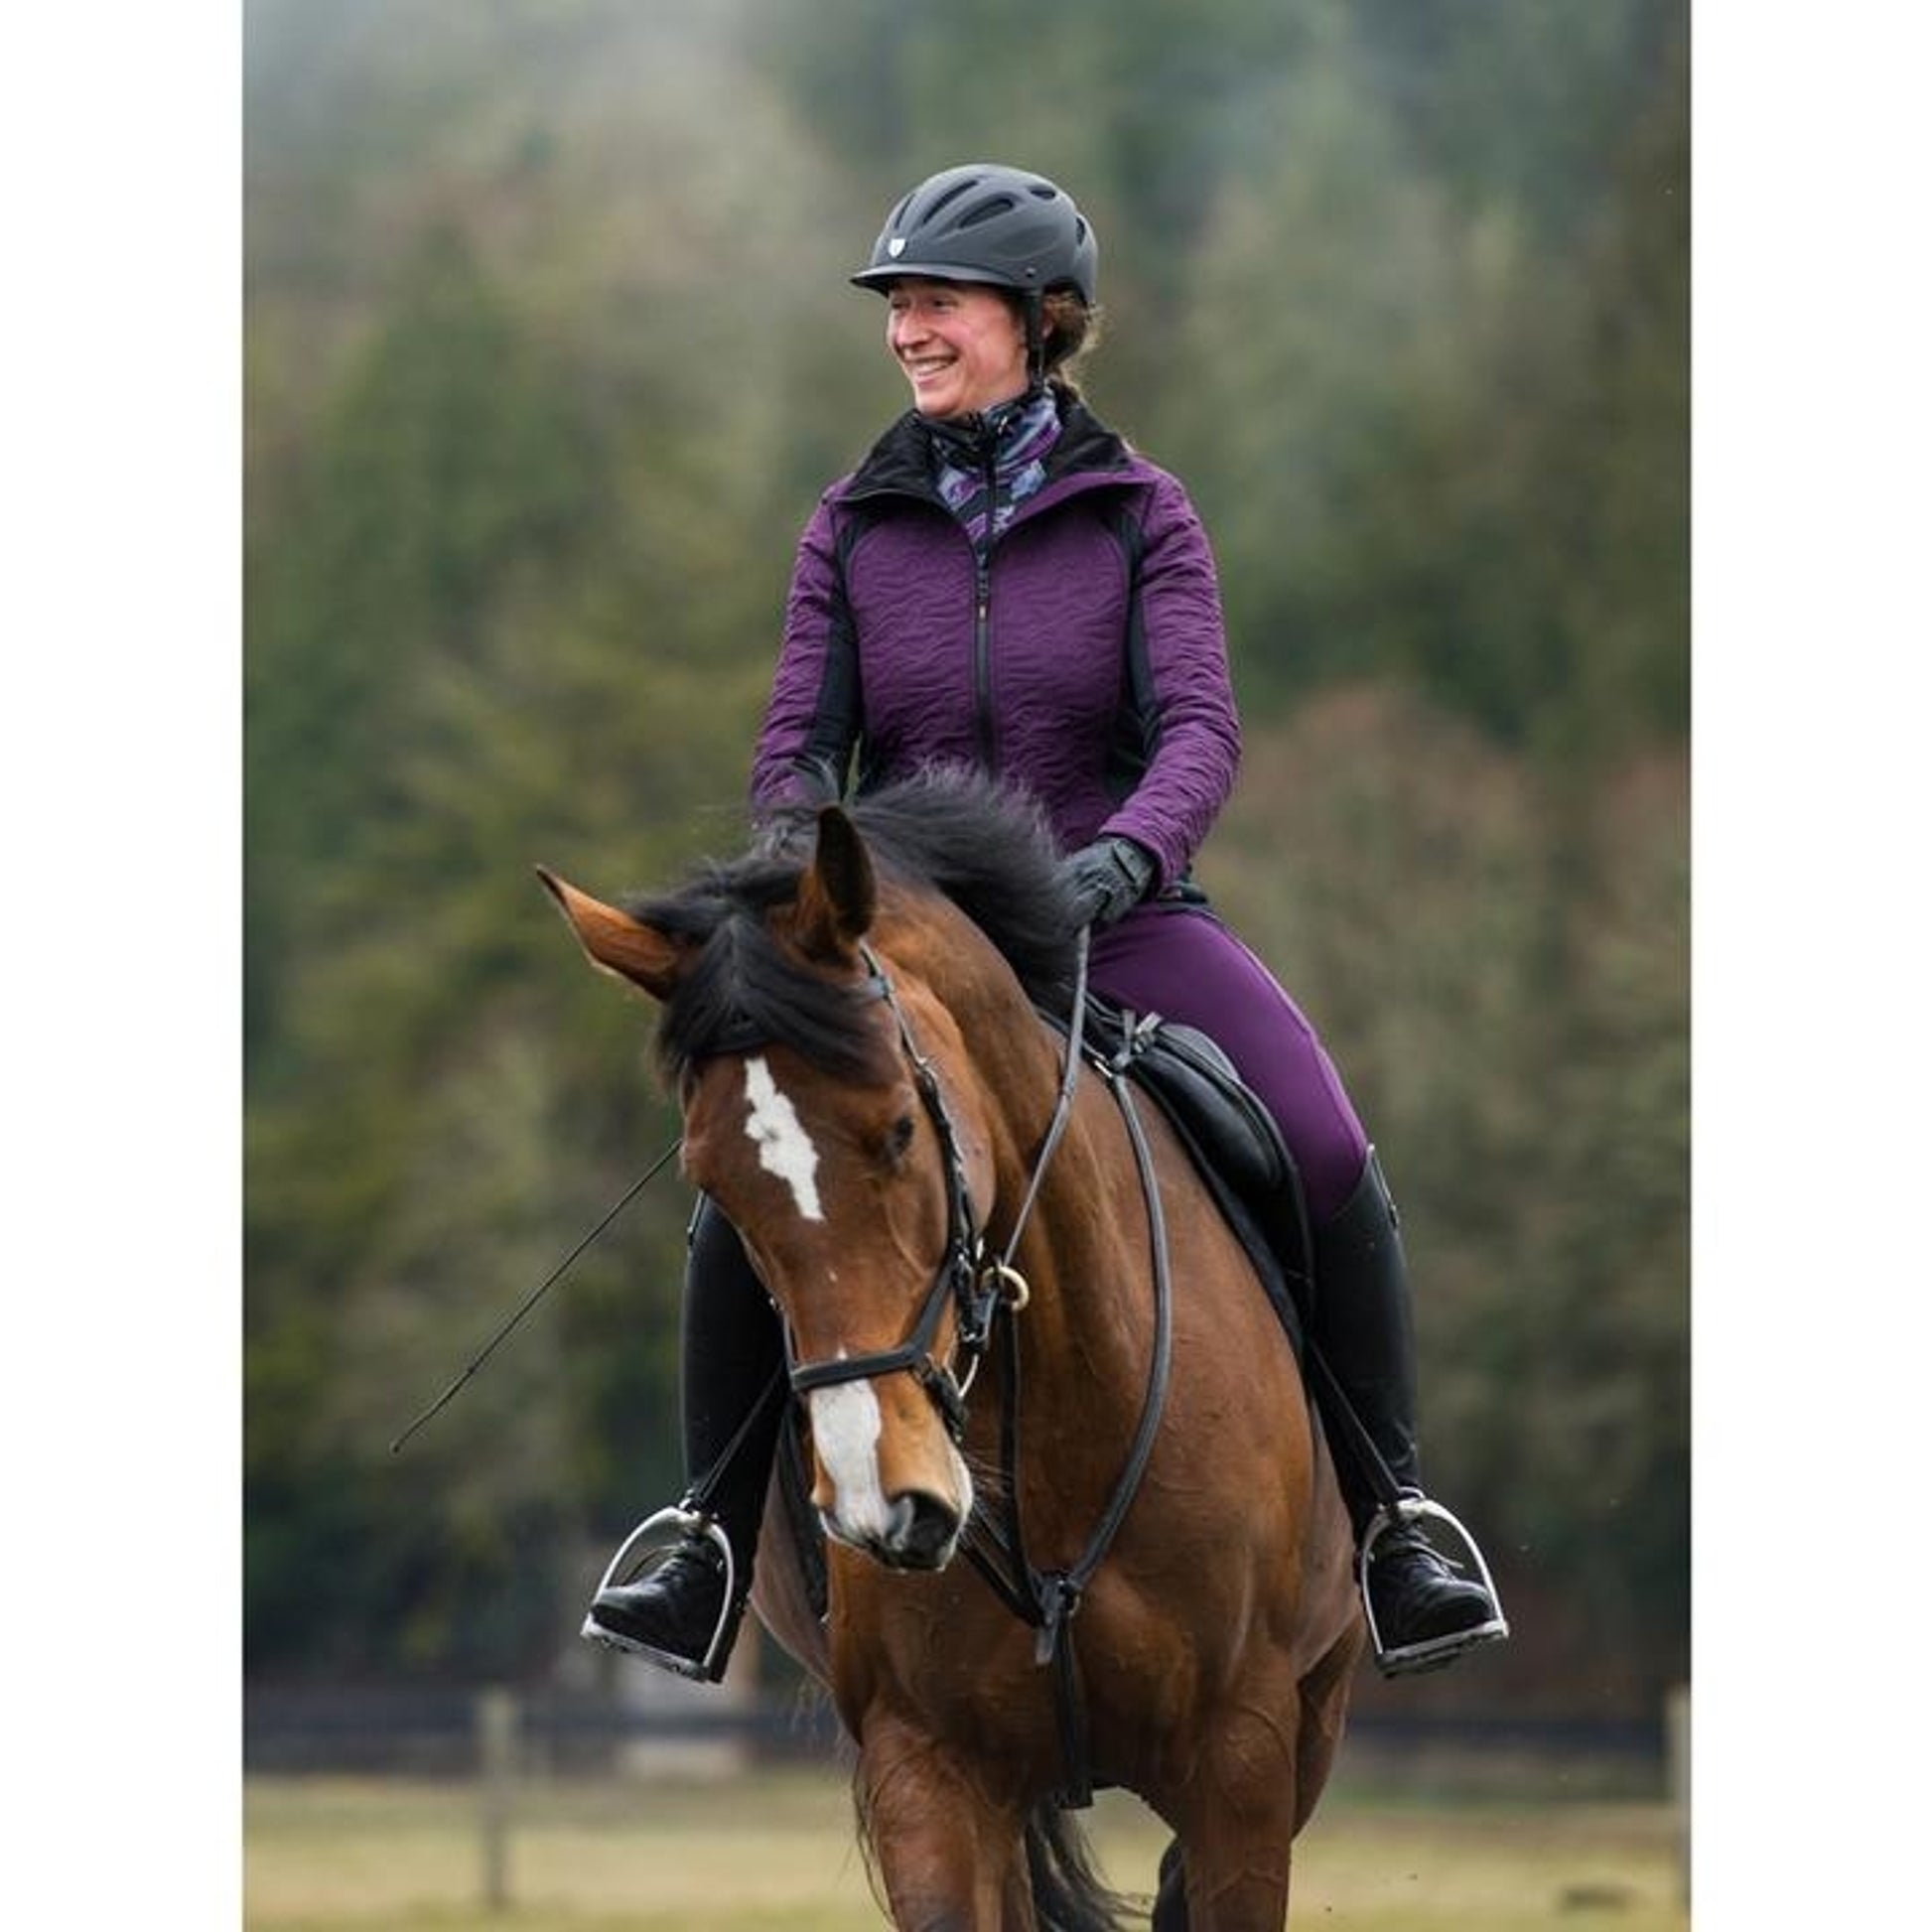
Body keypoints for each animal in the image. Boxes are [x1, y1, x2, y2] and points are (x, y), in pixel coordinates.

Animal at [540, 769, 1365, 1930]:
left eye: (897, 1128)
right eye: (713, 1179)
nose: (882, 1499)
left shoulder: (1240, 1765)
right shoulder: (928, 1769)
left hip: (1313, 1718)